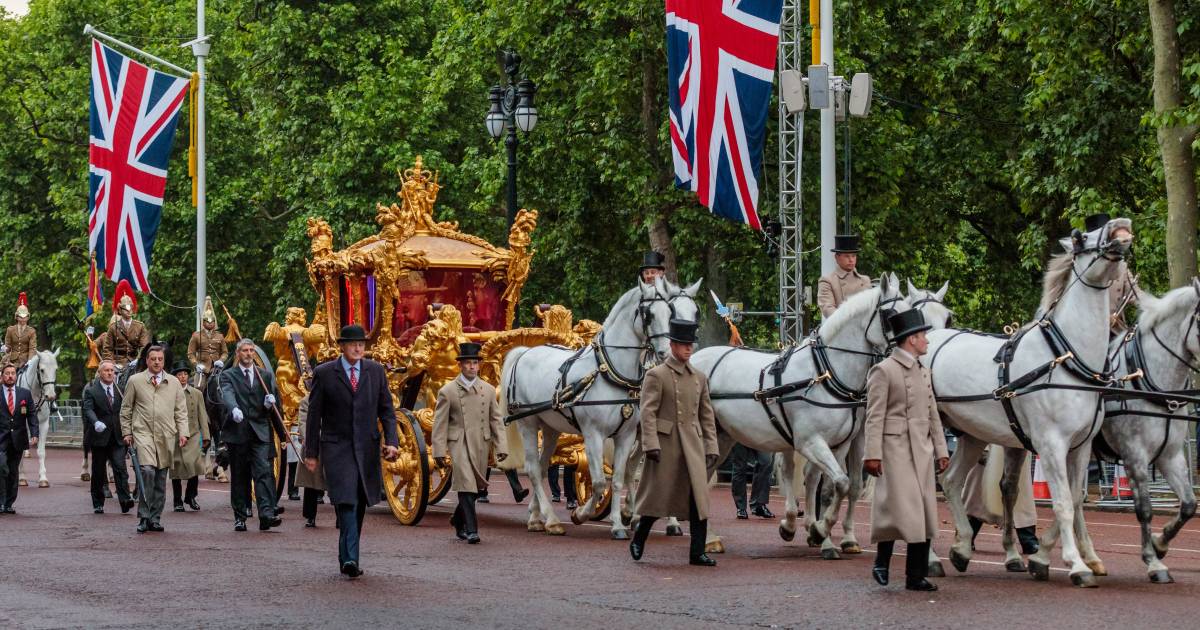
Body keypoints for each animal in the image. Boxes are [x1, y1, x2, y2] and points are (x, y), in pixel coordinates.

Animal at [17, 348, 60, 487]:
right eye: (42, 370)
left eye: (56, 369)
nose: (50, 396)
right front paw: (21, 477)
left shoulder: (43, 424)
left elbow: (41, 452)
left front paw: (43, 478)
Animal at [499, 274, 700, 535]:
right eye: (648, 314)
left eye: (693, 312)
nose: (669, 352)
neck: (612, 373)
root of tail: (525, 352)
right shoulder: (593, 434)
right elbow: (598, 482)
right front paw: (582, 514)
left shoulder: (629, 434)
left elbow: (620, 477)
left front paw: (620, 522)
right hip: (528, 424)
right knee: (533, 468)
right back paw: (552, 520)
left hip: (551, 427)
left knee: (542, 468)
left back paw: (536, 517)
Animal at [691, 272, 902, 556]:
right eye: (893, 315)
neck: (824, 374)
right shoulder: (809, 441)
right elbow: (839, 482)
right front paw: (818, 531)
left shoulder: (841, 443)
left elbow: (839, 485)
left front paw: (816, 530)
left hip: (722, 439)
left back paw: (709, 537)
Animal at [921, 218, 1128, 588]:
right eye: (1080, 238)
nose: (1119, 226)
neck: (1064, 358)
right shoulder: (1051, 444)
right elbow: (1062, 502)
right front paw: (1076, 564)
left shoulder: (1081, 446)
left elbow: (1076, 499)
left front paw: (1056, 557)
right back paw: (930, 558)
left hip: (971, 435)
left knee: (952, 481)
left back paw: (961, 548)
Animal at [1094, 282, 1195, 583]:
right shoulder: (1134, 456)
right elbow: (1145, 510)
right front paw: (1153, 561)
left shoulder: (1170, 456)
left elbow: (1188, 504)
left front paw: (1160, 544)